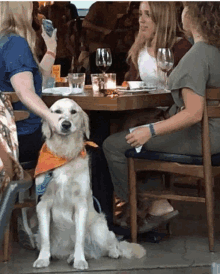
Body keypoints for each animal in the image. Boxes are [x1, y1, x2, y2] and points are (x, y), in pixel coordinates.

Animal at [32, 98, 146, 270]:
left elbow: (80, 238)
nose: (66, 124)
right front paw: (43, 259)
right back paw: (69, 256)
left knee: (112, 241)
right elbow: (46, 238)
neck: (64, 154)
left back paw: (109, 253)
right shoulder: (43, 204)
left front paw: (79, 260)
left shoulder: (81, 205)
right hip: (38, 235)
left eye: (73, 112)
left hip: (99, 228)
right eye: (57, 112)